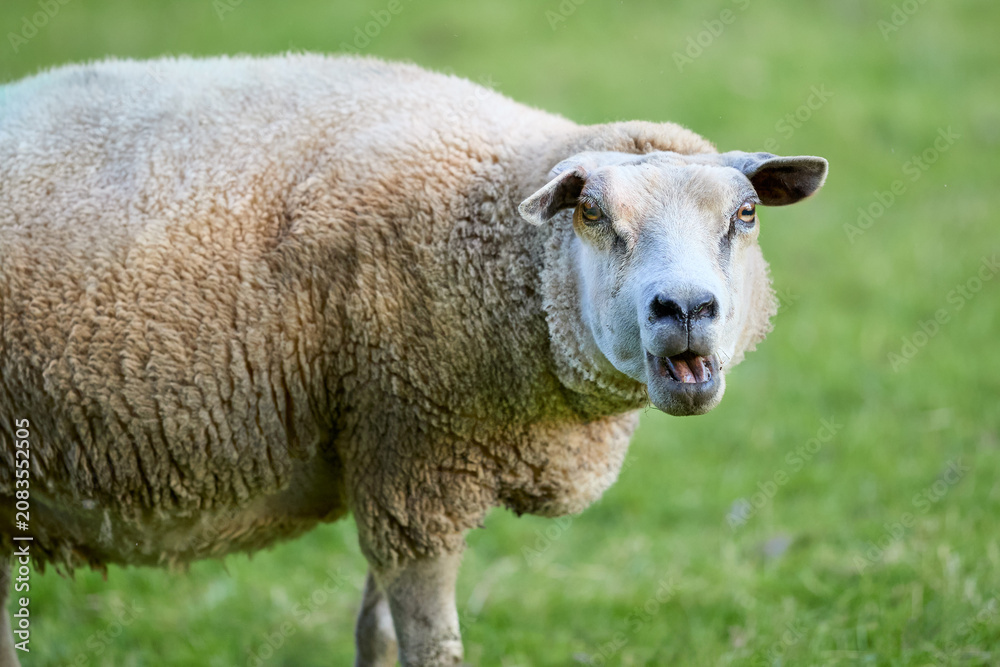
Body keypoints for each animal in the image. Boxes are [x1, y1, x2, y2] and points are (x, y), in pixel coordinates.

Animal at [0, 54, 827, 666]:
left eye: (745, 214)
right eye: (592, 212)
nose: (684, 308)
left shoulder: (384, 451)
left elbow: (376, 633)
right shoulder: (414, 460)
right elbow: (430, 645)